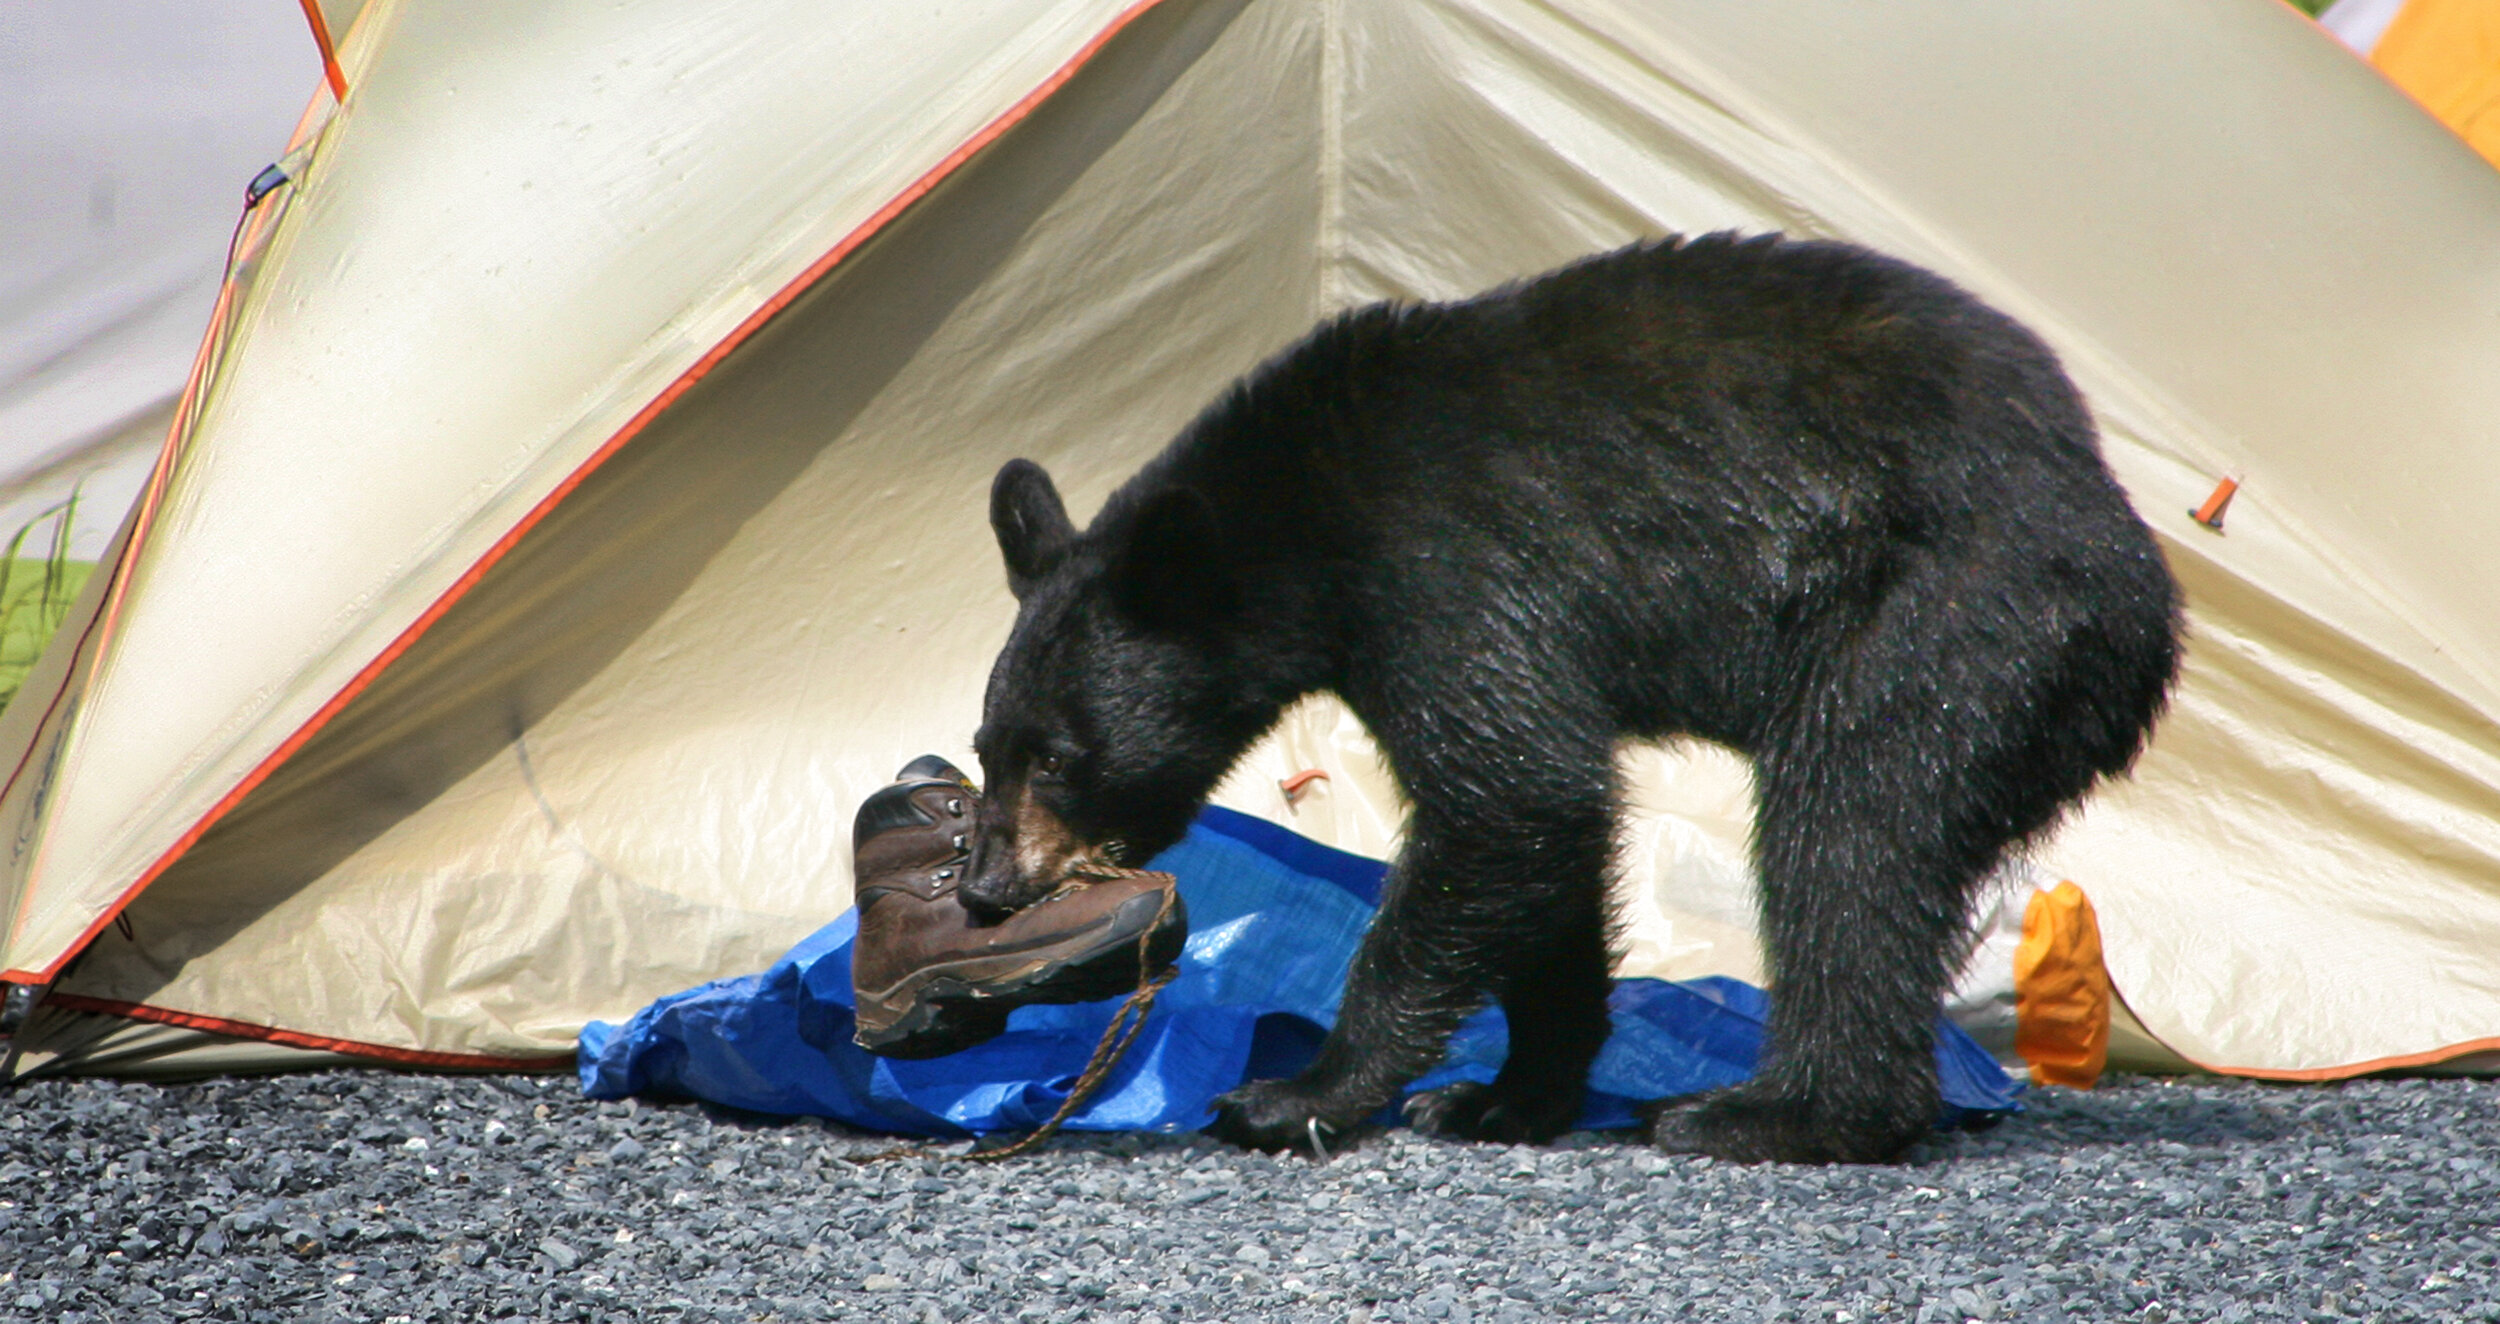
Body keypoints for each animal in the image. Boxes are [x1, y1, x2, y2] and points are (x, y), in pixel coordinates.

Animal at [965, 232, 2180, 1159]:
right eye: (986, 746)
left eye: (1059, 755)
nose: (983, 888)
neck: (1309, 518)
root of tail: (2135, 572)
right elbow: (1547, 839)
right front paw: (1504, 1095)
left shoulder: (1451, 574)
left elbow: (1509, 795)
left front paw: (1298, 1093)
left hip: (1955, 619)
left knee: (1851, 828)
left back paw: (1771, 1112)